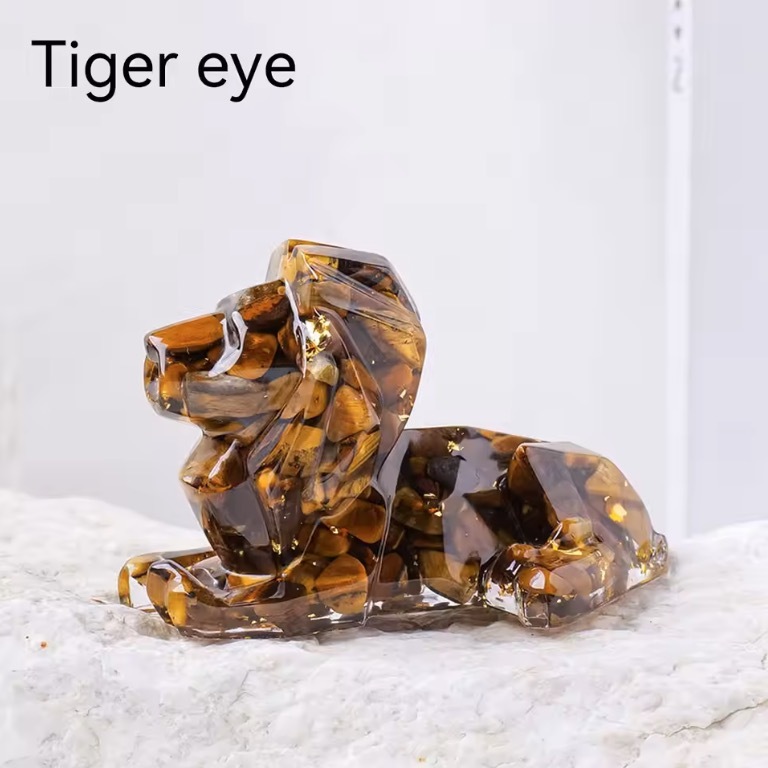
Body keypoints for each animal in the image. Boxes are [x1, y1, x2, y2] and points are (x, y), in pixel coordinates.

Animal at [119, 240, 668, 637]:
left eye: (234, 332)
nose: (150, 348)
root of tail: (652, 530)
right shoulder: (241, 556)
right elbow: (189, 560)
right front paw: (144, 567)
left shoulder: (331, 582)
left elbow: (212, 601)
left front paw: (171, 583)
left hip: (537, 460)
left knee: (601, 556)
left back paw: (526, 571)